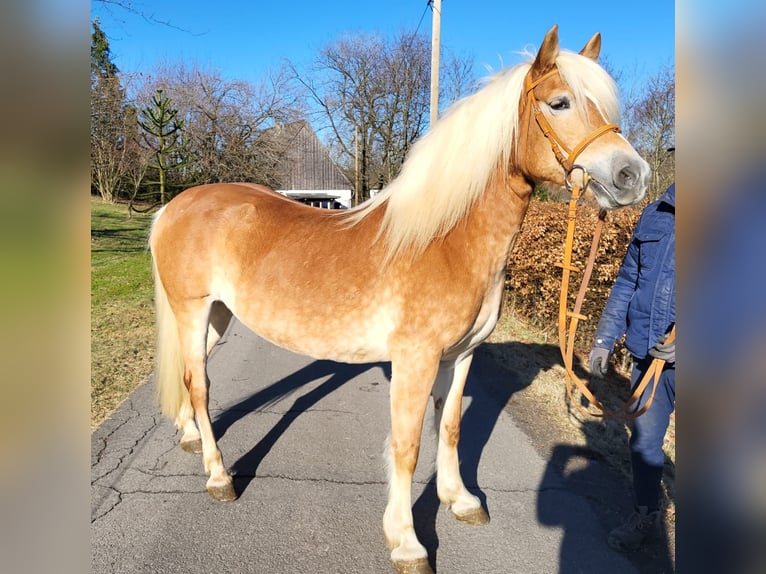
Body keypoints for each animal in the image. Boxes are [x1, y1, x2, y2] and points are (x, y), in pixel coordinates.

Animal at [148, 23, 648, 574]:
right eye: (559, 103)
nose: (633, 175)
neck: (446, 241)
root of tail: (176, 204)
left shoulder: (461, 356)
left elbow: (450, 427)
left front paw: (461, 500)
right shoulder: (415, 359)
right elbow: (406, 446)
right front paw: (406, 541)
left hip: (216, 316)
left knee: (189, 376)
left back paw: (190, 437)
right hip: (193, 310)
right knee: (199, 386)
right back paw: (218, 476)